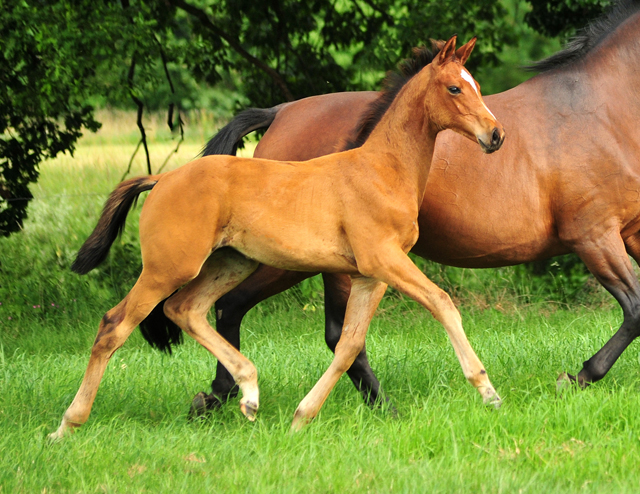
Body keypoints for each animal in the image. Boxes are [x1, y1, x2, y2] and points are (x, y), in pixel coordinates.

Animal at [50, 37, 504, 440]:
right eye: (454, 87)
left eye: (477, 85)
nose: (496, 135)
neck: (383, 169)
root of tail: (162, 178)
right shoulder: (384, 260)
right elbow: (442, 303)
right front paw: (487, 391)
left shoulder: (368, 275)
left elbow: (349, 345)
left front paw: (302, 417)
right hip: (168, 268)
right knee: (114, 326)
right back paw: (67, 425)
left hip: (231, 263)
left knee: (186, 309)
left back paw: (249, 392)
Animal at [185, 0, 640, 412]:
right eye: (455, 88)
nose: (495, 136)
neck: (601, 111)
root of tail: (280, 113)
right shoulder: (593, 236)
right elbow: (635, 309)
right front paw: (577, 377)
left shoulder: (629, 233)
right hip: (296, 260)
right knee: (266, 315)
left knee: (267, 316)